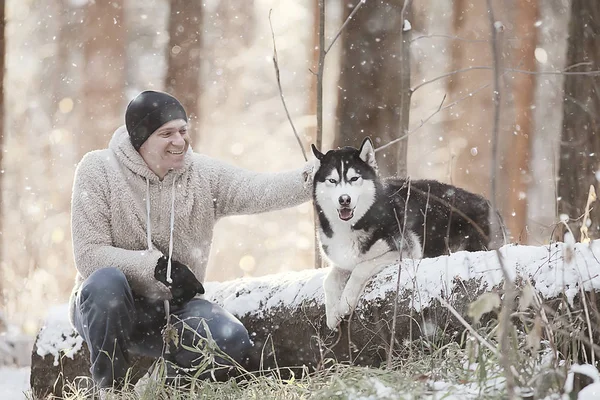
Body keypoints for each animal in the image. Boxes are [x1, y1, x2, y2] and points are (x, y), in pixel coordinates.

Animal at [312, 138, 508, 328]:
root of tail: (492, 208)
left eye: (354, 178)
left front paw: (345, 303)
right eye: (332, 181)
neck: (356, 223)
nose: (344, 199)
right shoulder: (342, 261)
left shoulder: (407, 249)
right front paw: (332, 314)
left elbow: (360, 268)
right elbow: (328, 281)